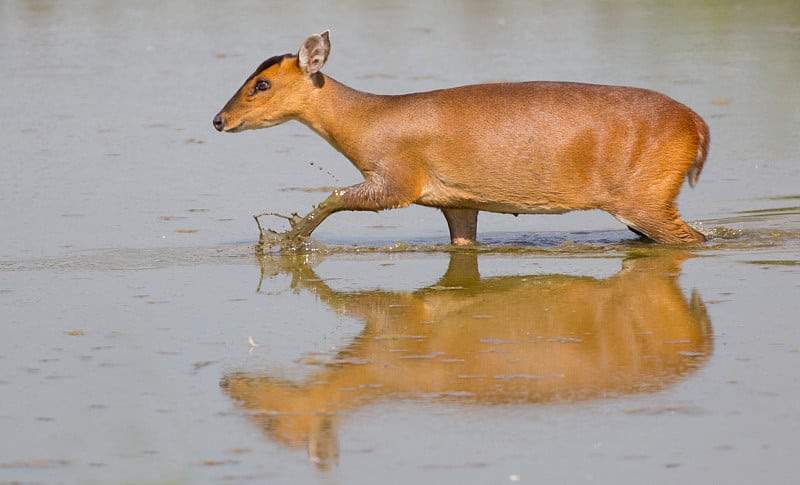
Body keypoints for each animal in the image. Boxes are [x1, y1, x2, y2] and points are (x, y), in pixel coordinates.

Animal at [211, 31, 708, 246]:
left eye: (261, 84)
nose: (219, 120)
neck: (369, 120)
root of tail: (698, 125)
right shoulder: (458, 201)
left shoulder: (398, 182)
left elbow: (332, 196)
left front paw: (284, 240)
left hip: (644, 199)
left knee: (692, 239)